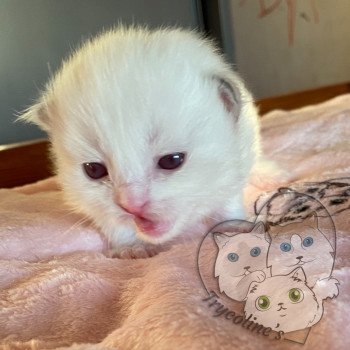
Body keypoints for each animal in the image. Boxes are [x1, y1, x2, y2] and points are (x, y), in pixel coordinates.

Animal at [19, 26, 260, 258]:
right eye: (93, 170)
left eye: (172, 160)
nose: (132, 206)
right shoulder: (97, 207)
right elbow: (114, 224)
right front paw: (132, 248)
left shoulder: (235, 172)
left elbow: (226, 204)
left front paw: (236, 228)